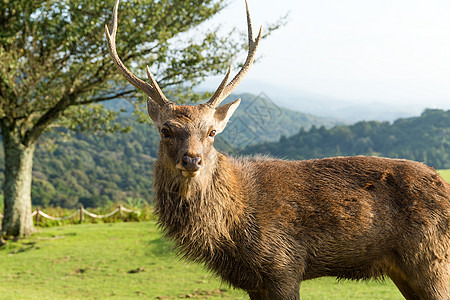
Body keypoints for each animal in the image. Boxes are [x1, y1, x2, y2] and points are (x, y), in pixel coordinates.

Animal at [105, 1, 450, 298]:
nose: (192, 160)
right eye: (166, 130)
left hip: (432, 259)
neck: (232, 231)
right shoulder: (253, 282)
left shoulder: (284, 265)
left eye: (212, 132)